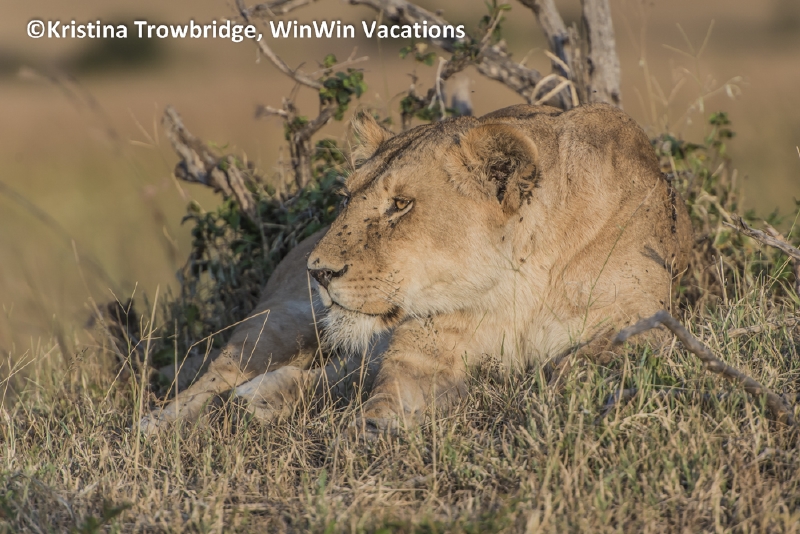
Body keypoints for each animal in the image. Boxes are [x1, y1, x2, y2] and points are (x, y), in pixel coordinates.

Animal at [141, 103, 691, 437]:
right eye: (346, 198)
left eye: (400, 205)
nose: (320, 272)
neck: (517, 284)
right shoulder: (420, 351)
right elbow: (387, 396)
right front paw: (370, 431)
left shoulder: (647, 325)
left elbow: (576, 361)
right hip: (282, 322)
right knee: (217, 376)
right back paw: (157, 425)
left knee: (334, 373)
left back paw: (264, 399)